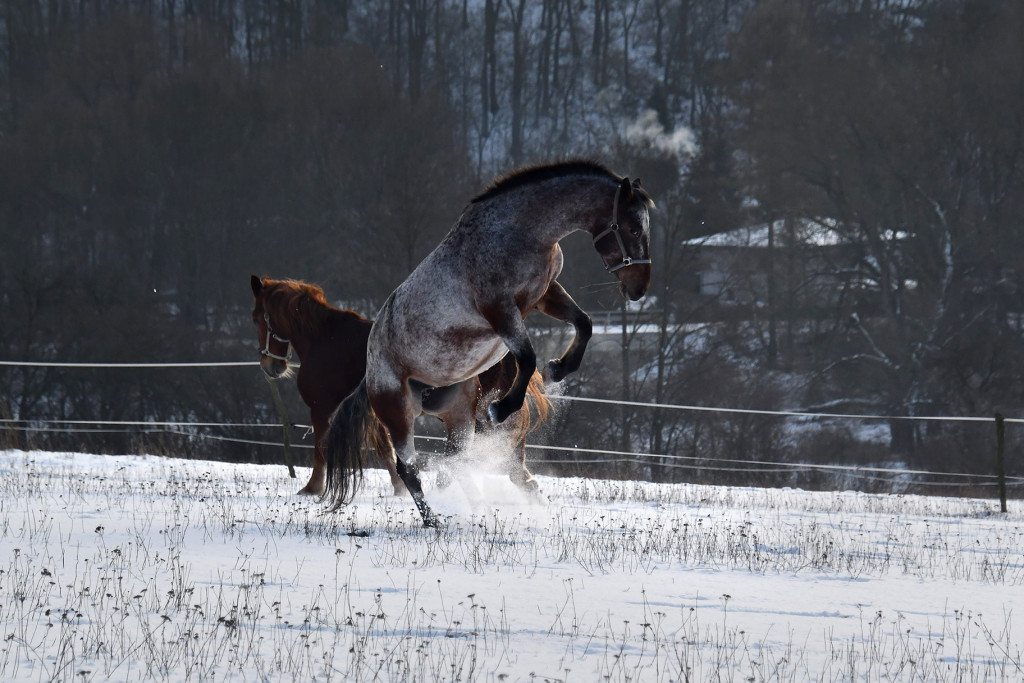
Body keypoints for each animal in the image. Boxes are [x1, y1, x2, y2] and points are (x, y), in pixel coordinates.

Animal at [250, 276, 548, 497]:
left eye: (256, 318)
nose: (269, 365)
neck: (325, 339)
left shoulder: (322, 409)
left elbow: (321, 448)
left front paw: (312, 488)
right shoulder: (377, 414)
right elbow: (387, 450)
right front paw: (399, 488)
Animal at [323, 161, 651, 528]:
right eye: (633, 229)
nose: (639, 288)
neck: (520, 232)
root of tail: (370, 373)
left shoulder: (545, 294)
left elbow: (584, 324)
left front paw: (558, 370)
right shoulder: (501, 311)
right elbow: (527, 357)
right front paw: (502, 407)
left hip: (459, 414)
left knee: (452, 461)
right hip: (399, 413)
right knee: (407, 468)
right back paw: (434, 520)